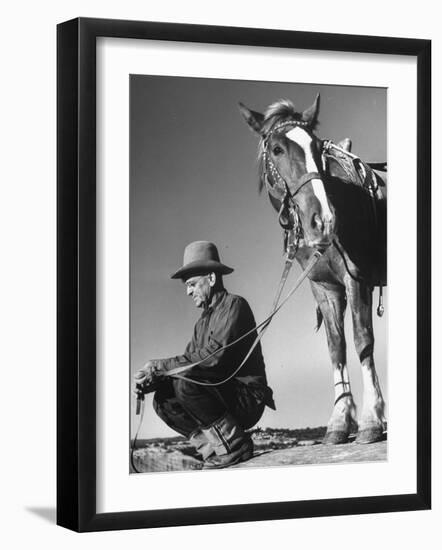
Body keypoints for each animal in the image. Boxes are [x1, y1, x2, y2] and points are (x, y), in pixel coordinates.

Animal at [238, 94, 386, 444]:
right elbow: (336, 347)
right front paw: (339, 421)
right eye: (277, 149)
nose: (324, 221)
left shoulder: (356, 279)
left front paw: (371, 419)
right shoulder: (324, 288)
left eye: (318, 147)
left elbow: (363, 341)